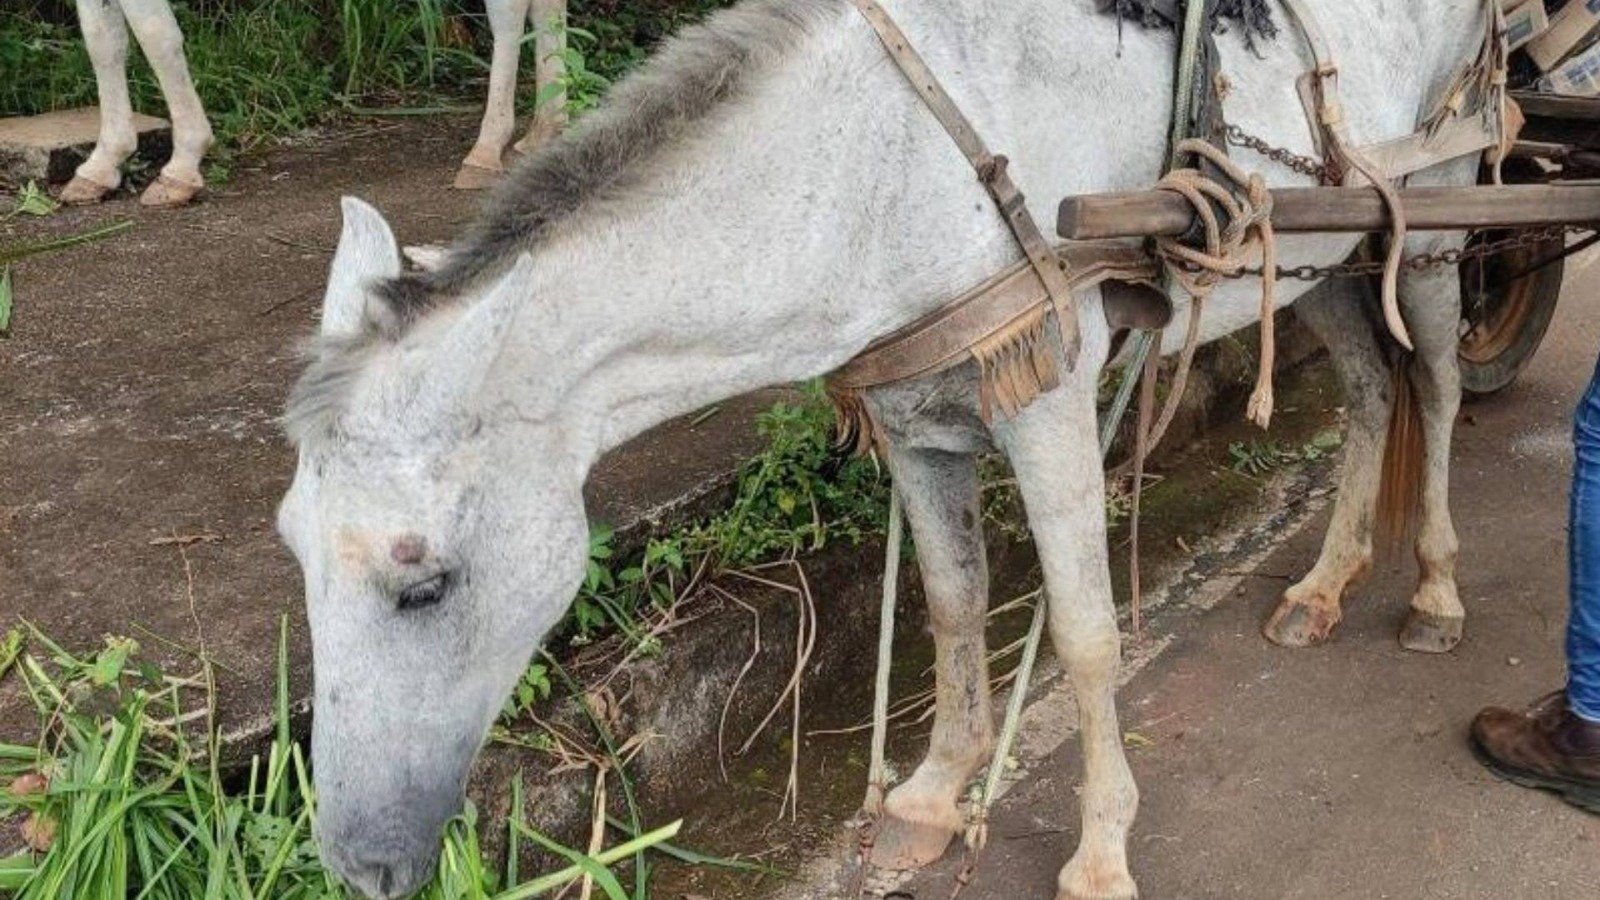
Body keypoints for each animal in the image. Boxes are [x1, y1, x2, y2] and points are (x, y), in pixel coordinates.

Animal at [64, 0, 576, 203]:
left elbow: (154, 34)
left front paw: (182, 166)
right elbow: (103, 39)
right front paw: (102, 164)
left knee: (508, 13)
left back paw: (486, 151)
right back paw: (544, 130)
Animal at [278, 0, 1484, 890]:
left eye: (424, 584)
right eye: (293, 547)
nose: (359, 868)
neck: (879, 172)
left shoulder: (1044, 397)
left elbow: (1088, 634)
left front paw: (1100, 854)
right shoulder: (916, 423)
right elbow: (951, 606)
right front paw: (933, 795)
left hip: (1428, 220)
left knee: (1433, 387)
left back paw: (1433, 593)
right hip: (1319, 259)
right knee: (1370, 396)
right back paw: (1322, 587)